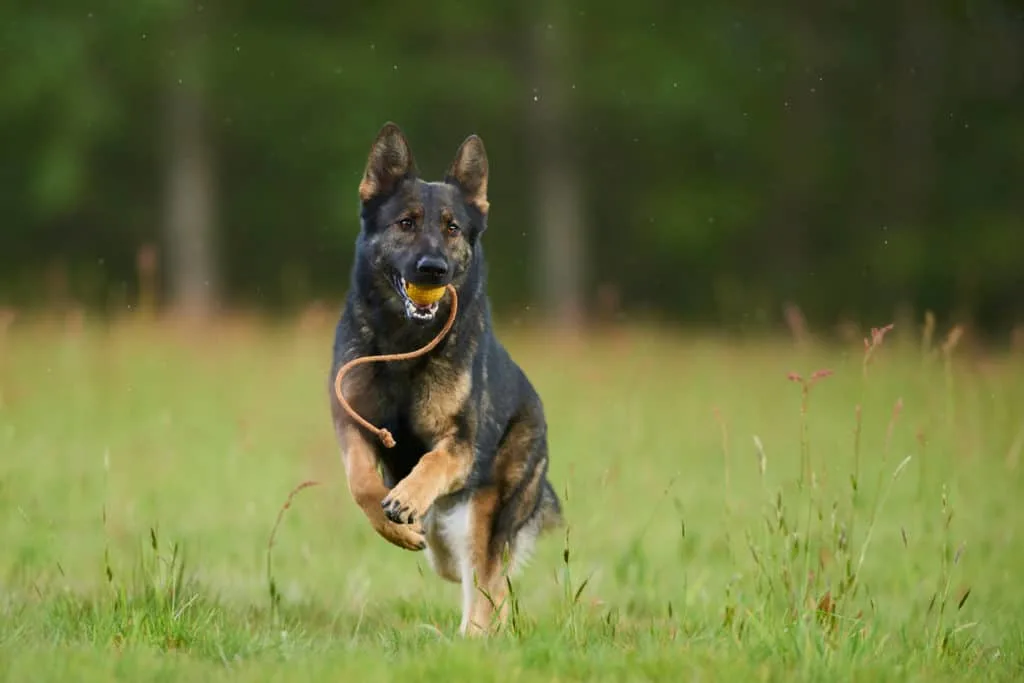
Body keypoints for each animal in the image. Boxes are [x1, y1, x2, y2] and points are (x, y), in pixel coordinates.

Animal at [327, 121, 565, 634]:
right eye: (406, 223)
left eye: (452, 228)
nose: (433, 269)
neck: (404, 345)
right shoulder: (352, 423)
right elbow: (361, 481)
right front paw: (392, 522)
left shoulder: (460, 444)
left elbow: (434, 461)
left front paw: (407, 497)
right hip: (445, 539)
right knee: (463, 570)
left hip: (484, 513)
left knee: (487, 581)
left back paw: (474, 637)